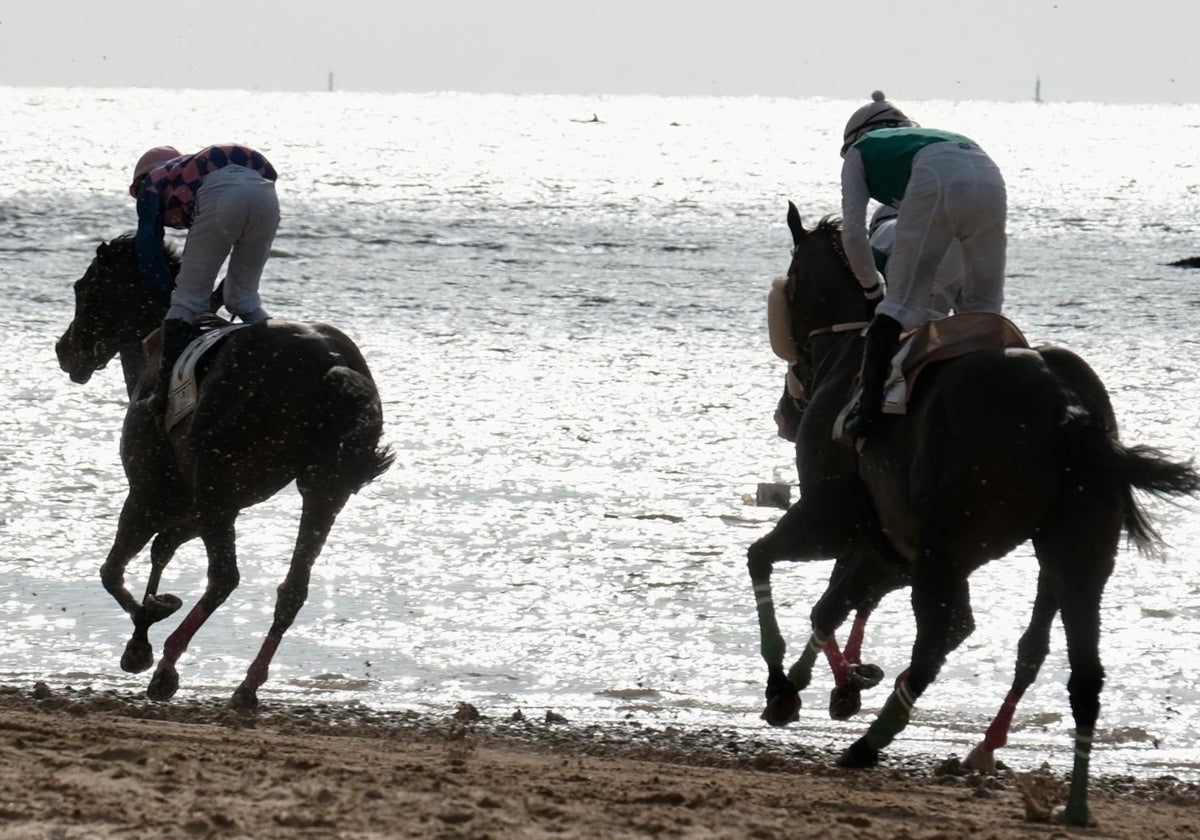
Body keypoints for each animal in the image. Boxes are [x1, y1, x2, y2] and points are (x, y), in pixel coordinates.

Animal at [55, 235, 393, 710]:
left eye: (84, 289)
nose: (64, 350)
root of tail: (332, 366)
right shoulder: (194, 508)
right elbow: (160, 552)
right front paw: (148, 621)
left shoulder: (148, 495)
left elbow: (113, 570)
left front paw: (144, 635)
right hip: (323, 490)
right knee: (292, 589)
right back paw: (247, 684)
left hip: (219, 485)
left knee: (224, 577)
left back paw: (168, 664)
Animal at [748, 205, 1200, 825]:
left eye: (790, 283)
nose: (783, 413)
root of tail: (1065, 404)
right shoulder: (880, 548)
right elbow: (828, 608)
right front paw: (828, 686)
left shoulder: (830, 518)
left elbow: (765, 561)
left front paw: (787, 687)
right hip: (1076, 548)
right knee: (1081, 668)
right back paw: (1073, 804)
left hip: (948, 542)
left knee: (948, 628)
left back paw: (874, 741)